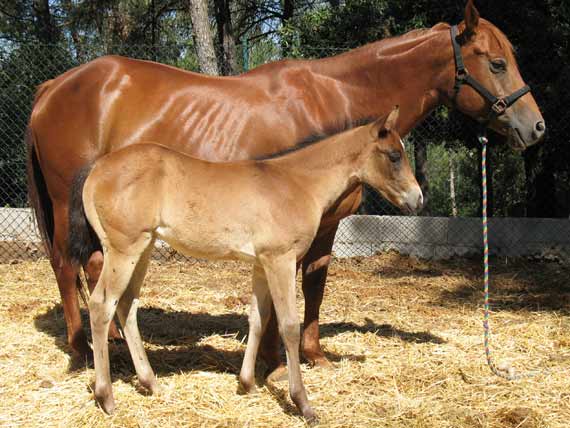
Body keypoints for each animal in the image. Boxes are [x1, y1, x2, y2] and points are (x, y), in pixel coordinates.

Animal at [25, 0, 540, 374]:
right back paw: (81, 350)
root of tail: (53, 85)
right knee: (66, 265)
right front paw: (280, 359)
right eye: (497, 63)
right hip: (64, 204)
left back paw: (111, 338)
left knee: (94, 266)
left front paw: (309, 354)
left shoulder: (324, 224)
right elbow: (295, 285)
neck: (334, 101)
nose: (536, 127)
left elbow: (313, 282)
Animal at [67, 105, 422, 420]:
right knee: (101, 305)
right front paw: (302, 403)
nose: (418, 199)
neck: (297, 183)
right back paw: (106, 397)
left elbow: (257, 318)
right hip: (124, 248)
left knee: (127, 304)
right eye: (394, 155)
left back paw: (149, 381)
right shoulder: (281, 259)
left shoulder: (261, 263)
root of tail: (96, 169)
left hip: (143, 248)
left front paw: (247, 382)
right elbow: (288, 326)